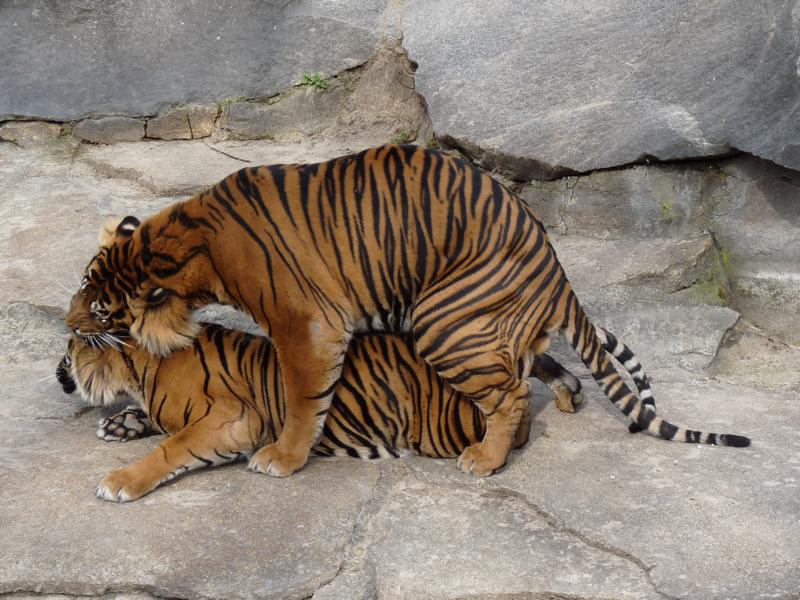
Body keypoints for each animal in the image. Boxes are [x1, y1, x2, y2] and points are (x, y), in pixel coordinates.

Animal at [57, 324, 586, 502]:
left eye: (67, 347)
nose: (58, 374)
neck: (140, 370)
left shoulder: (232, 419)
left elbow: (170, 448)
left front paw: (120, 481)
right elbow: (155, 422)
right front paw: (120, 422)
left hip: (444, 424)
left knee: (515, 397)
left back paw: (489, 452)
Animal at [65, 145, 750, 478]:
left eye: (98, 310)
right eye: (83, 289)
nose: (66, 329)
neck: (187, 242)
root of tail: (554, 264)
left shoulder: (306, 326)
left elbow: (301, 399)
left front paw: (282, 459)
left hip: (441, 320)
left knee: (509, 393)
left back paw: (486, 460)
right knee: (547, 366)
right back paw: (565, 397)